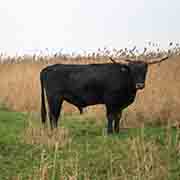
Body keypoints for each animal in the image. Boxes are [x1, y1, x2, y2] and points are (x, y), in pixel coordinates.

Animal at [40, 56, 169, 134]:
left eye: (145, 70)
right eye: (132, 70)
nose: (140, 85)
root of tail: (47, 68)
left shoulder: (119, 104)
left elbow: (118, 116)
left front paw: (117, 131)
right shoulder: (110, 100)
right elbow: (110, 116)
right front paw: (110, 132)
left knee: (54, 115)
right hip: (54, 98)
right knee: (53, 115)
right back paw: (54, 132)